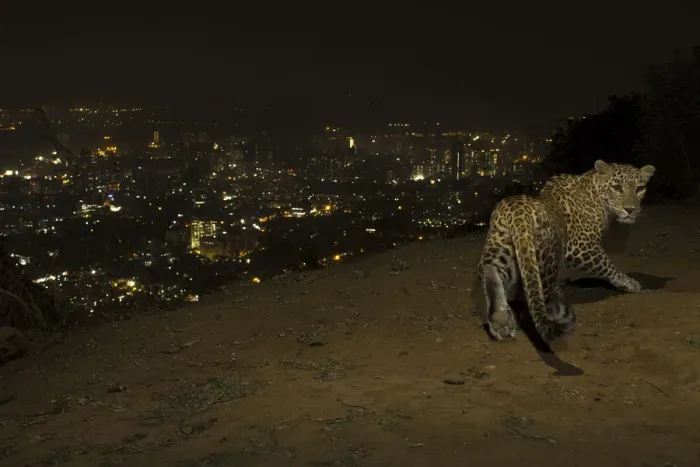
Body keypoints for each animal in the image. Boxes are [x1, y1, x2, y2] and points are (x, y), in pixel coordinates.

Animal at [477, 159, 656, 343]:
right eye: (617, 187)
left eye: (639, 189)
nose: (630, 210)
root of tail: (517, 213)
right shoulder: (582, 247)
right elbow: (609, 267)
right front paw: (629, 283)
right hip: (546, 260)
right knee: (537, 295)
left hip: (502, 248)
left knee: (491, 272)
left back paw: (500, 319)